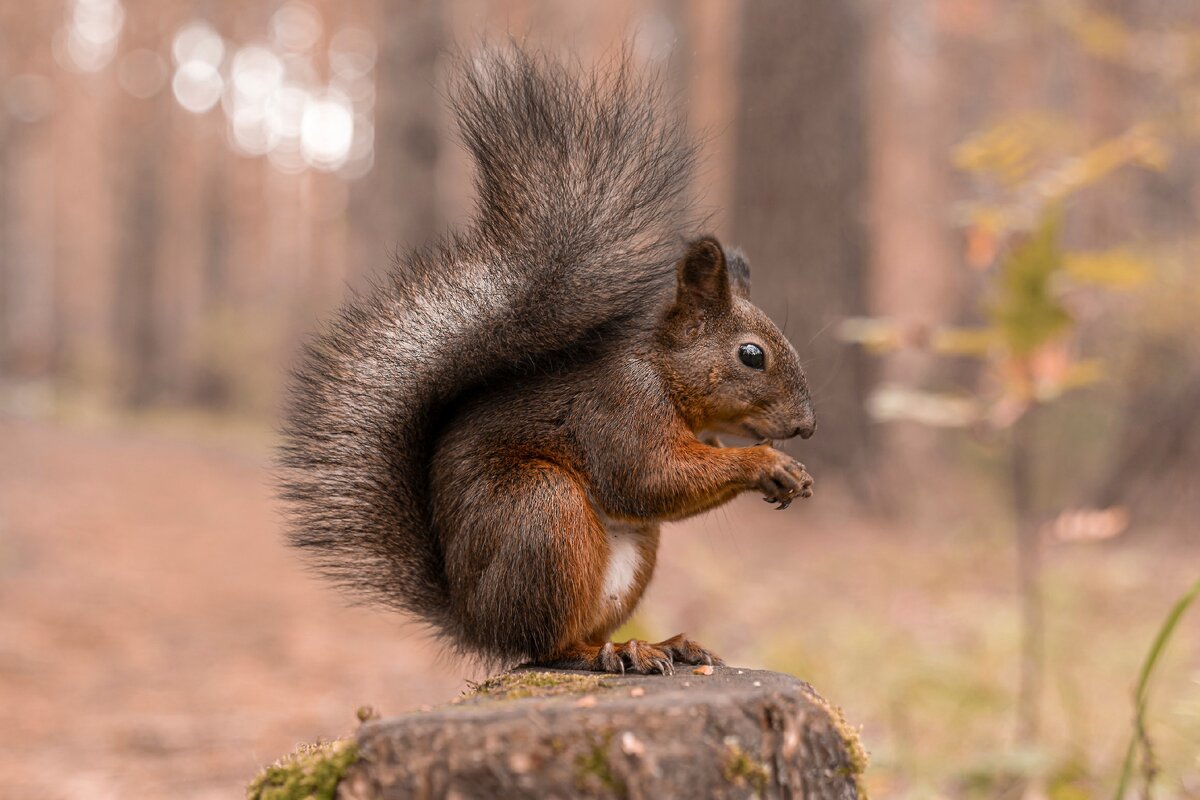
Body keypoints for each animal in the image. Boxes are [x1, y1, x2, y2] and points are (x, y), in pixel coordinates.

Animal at [278, 48, 816, 676]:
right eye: (751, 355)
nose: (807, 425)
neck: (663, 374)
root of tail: (477, 622)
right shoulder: (619, 406)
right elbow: (648, 478)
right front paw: (767, 463)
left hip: (630, 550)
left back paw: (660, 644)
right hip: (544, 511)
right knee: (549, 646)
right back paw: (617, 652)